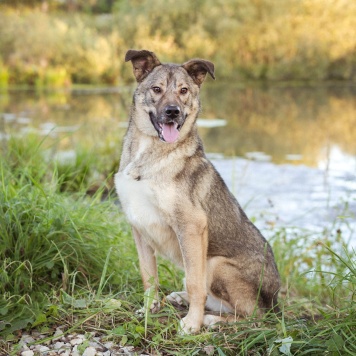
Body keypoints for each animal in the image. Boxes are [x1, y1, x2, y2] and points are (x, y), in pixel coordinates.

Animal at [115, 50, 280, 334]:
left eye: (184, 91)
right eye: (157, 89)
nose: (173, 112)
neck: (150, 153)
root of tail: (277, 301)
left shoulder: (191, 225)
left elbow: (195, 283)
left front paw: (192, 323)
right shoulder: (139, 226)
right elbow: (148, 276)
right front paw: (149, 310)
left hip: (216, 264)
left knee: (253, 316)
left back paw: (211, 319)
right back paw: (181, 299)